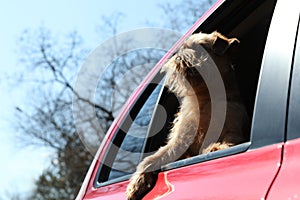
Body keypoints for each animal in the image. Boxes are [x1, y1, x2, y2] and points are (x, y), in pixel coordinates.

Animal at [125, 32, 250, 199]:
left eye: (198, 47)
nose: (178, 55)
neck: (206, 99)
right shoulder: (179, 143)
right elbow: (152, 159)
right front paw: (137, 183)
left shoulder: (233, 130)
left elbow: (230, 140)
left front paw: (217, 147)